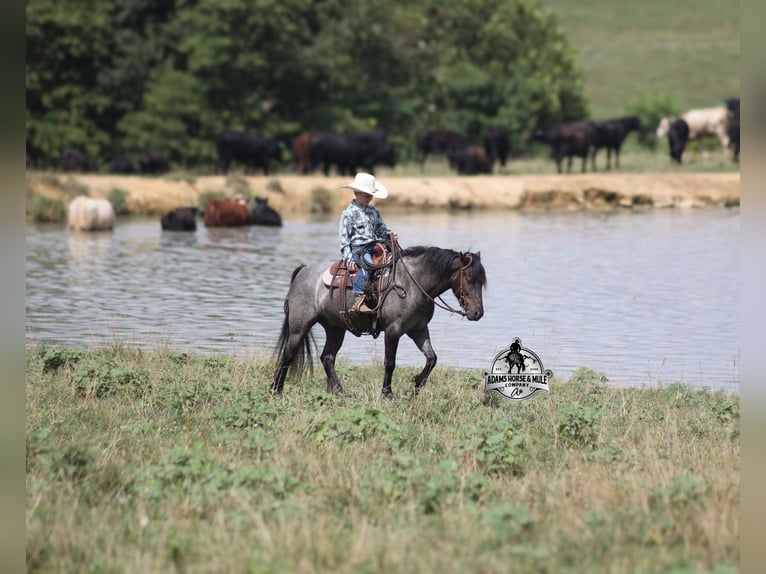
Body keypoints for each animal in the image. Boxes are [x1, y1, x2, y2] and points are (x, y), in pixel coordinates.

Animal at [271, 244, 487, 399]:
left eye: (481, 281)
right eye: (469, 277)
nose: (477, 313)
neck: (412, 284)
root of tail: (302, 271)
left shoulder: (418, 329)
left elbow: (432, 358)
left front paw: (417, 383)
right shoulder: (393, 330)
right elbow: (390, 362)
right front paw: (387, 393)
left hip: (335, 328)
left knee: (328, 357)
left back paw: (339, 391)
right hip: (299, 326)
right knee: (288, 355)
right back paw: (276, 389)